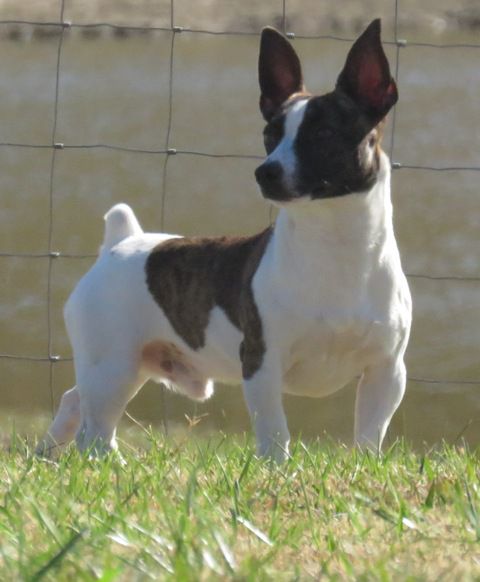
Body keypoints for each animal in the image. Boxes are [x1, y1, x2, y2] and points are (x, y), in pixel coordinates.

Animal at [37, 18, 412, 464]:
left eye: (323, 133)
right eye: (270, 135)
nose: (265, 171)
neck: (336, 245)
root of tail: (120, 243)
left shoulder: (386, 372)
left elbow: (370, 436)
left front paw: (362, 466)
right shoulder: (262, 364)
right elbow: (275, 433)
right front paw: (278, 471)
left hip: (122, 368)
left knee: (76, 402)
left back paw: (49, 451)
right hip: (113, 364)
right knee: (94, 430)